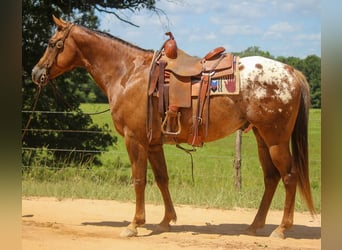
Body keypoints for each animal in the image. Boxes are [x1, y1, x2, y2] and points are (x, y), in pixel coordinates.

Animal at [32, 15, 316, 238]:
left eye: (53, 43)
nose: (36, 73)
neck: (128, 73)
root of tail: (292, 72)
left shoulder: (134, 139)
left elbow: (139, 180)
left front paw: (134, 225)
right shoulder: (153, 143)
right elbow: (162, 179)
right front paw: (166, 221)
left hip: (276, 140)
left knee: (289, 176)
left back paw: (281, 228)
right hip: (261, 138)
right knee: (271, 178)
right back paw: (255, 225)